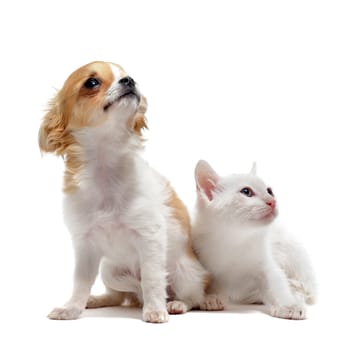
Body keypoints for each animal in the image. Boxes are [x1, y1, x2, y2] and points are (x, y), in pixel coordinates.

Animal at [39, 62, 208, 322]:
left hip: (185, 272)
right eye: (91, 83)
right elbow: (80, 282)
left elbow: (151, 278)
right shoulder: (85, 246)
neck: (106, 166)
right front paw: (72, 308)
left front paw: (155, 310)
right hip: (109, 270)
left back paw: (175, 303)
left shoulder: (150, 238)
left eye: (126, 75)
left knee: (192, 297)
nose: (129, 80)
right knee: (119, 295)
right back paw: (97, 300)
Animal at [193, 160, 316, 318]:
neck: (235, 239)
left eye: (269, 191)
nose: (272, 201)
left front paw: (288, 305)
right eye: (246, 192)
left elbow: (277, 282)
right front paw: (211, 297)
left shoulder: (266, 264)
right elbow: (211, 282)